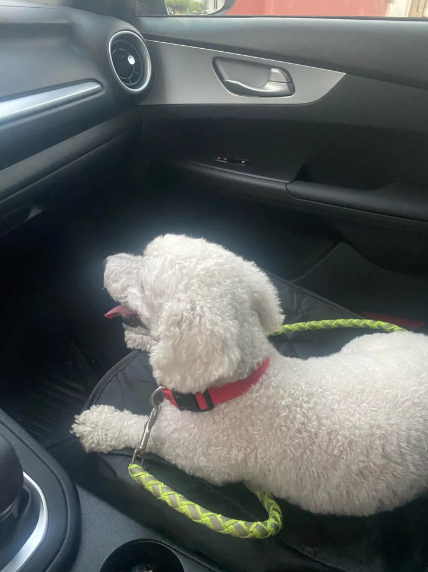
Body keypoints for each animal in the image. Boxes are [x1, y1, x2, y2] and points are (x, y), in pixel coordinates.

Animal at [73, 234, 428, 516]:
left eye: (144, 283)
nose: (106, 260)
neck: (241, 386)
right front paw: (141, 341)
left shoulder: (193, 452)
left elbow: (143, 431)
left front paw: (98, 424)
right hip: (367, 344)